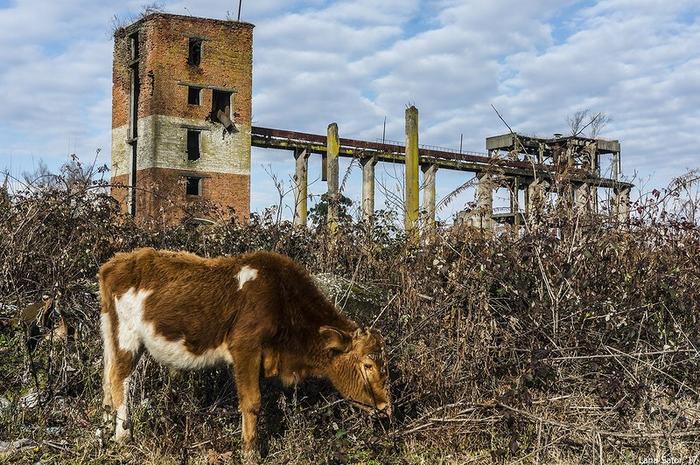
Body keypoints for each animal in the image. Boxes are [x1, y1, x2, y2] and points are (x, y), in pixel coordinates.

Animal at [98, 246, 392, 454]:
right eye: (367, 365)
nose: (386, 407)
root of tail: (115, 263)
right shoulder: (245, 348)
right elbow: (252, 402)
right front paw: (251, 452)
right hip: (127, 338)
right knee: (119, 380)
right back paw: (123, 436)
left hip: (111, 336)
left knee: (107, 383)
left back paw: (104, 430)